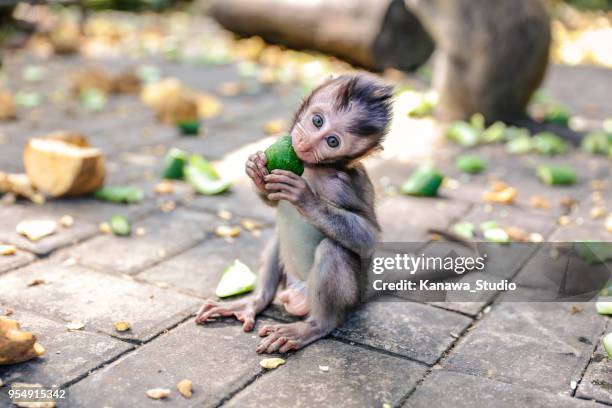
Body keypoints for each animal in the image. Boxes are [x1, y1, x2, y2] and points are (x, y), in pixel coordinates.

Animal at [198, 74, 394, 354]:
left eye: (332, 142)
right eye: (317, 121)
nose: (306, 143)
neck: (312, 168)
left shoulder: (346, 183)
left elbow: (368, 237)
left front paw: (305, 197)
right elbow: (270, 198)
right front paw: (256, 170)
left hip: (343, 298)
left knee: (333, 250)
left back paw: (314, 326)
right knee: (277, 238)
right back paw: (254, 302)